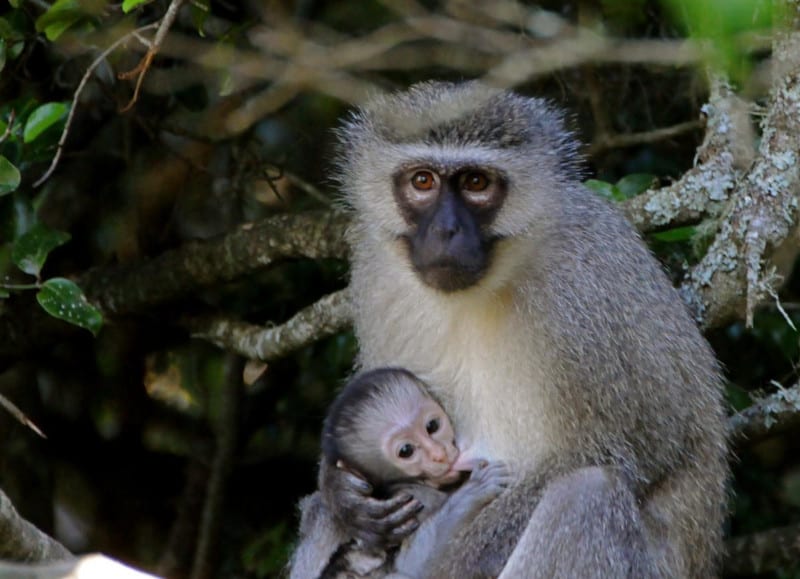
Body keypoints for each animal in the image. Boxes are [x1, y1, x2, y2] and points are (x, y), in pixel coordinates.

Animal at [290, 370, 510, 576]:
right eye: (406, 450)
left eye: (432, 426)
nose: (439, 454)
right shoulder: (412, 498)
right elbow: (414, 566)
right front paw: (473, 492)